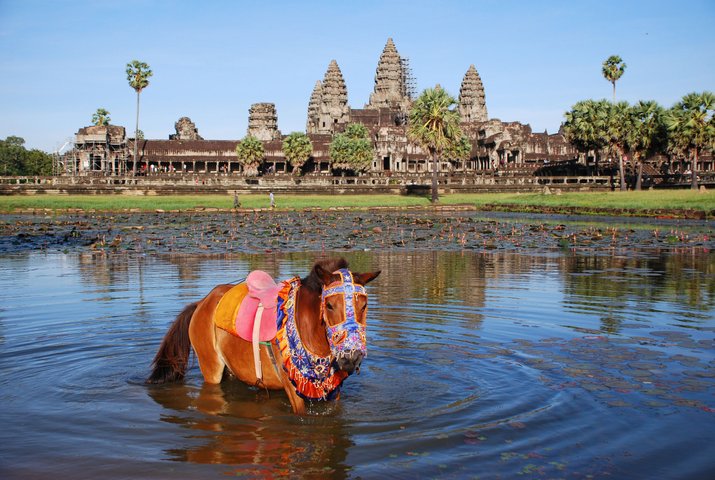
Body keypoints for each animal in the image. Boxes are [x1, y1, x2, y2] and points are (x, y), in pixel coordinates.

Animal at [145, 256, 380, 414]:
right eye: (329, 305)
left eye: (364, 305)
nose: (350, 357)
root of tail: (202, 302)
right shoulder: (293, 390)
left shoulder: (335, 390)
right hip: (210, 368)